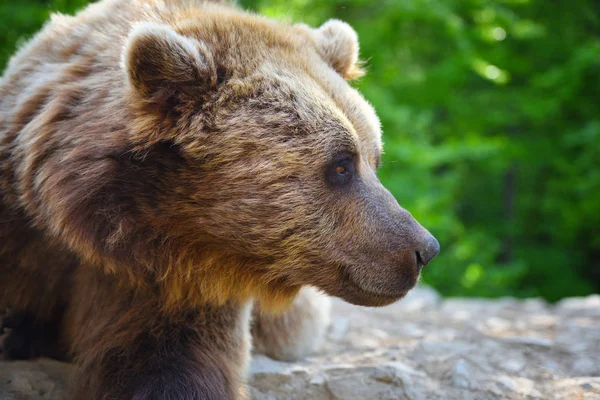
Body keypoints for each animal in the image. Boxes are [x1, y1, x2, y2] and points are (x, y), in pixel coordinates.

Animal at [1, 0, 440, 398]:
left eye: (374, 159)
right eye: (341, 166)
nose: (423, 248)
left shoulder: (175, 281)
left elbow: (169, 363)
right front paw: (18, 329)